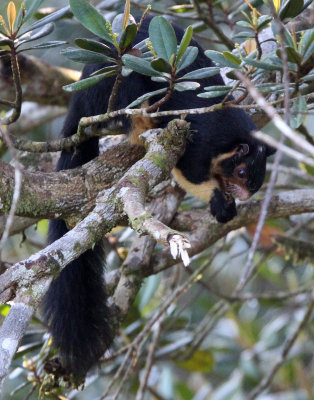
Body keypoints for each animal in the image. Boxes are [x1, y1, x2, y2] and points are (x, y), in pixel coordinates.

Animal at [41, 14, 274, 378]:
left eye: (255, 181)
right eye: (240, 172)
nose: (243, 194)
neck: (227, 135)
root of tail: (78, 106)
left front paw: (225, 204)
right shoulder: (199, 142)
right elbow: (189, 173)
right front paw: (221, 203)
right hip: (118, 87)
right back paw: (139, 123)